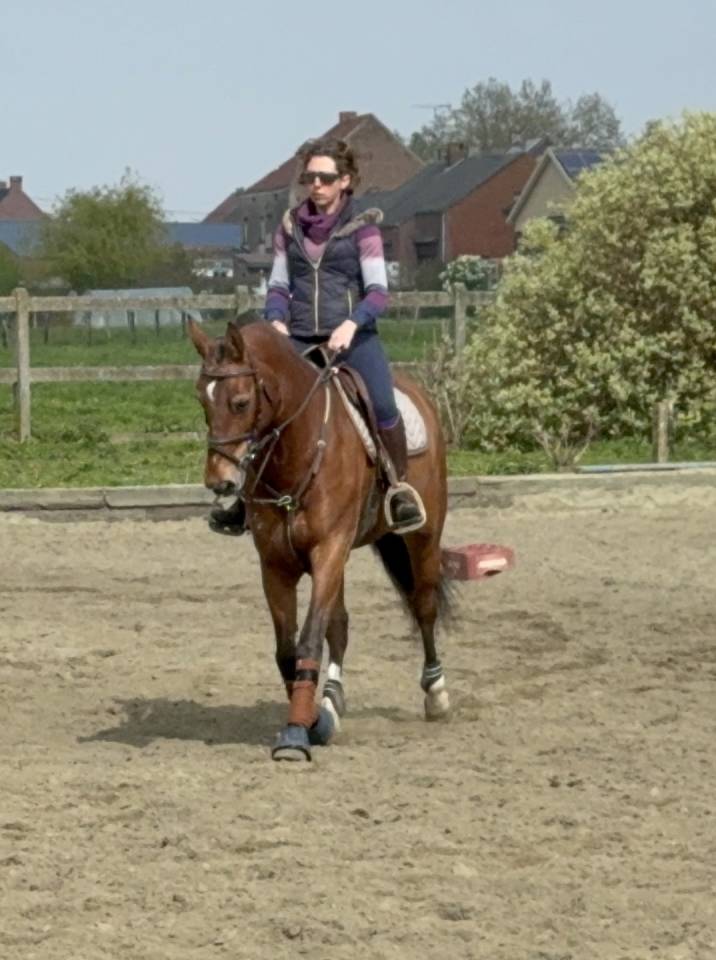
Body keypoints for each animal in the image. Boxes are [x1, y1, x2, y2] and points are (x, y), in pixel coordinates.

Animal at [189, 319, 454, 761]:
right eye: (202, 402)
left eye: (240, 402)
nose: (219, 481)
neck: (297, 449)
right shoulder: (276, 564)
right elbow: (288, 650)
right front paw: (315, 718)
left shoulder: (329, 549)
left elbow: (310, 639)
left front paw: (296, 733)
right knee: (341, 624)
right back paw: (332, 698)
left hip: (423, 536)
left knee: (424, 606)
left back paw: (436, 692)